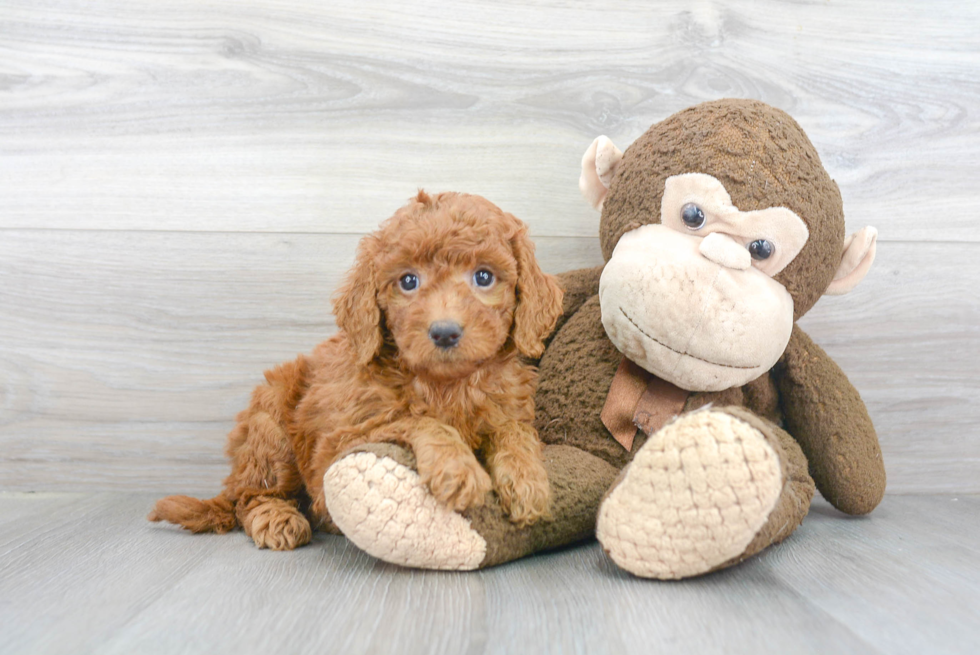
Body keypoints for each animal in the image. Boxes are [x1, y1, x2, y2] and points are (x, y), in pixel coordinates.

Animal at [149, 192, 564, 552]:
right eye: (408, 281)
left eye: (484, 277)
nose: (445, 332)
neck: (446, 384)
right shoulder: (344, 436)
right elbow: (416, 420)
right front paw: (457, 468)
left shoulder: (509, 406)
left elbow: (514, 430)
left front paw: (528, 480)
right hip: (271, 426)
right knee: (250, 497)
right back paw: (278, 519)